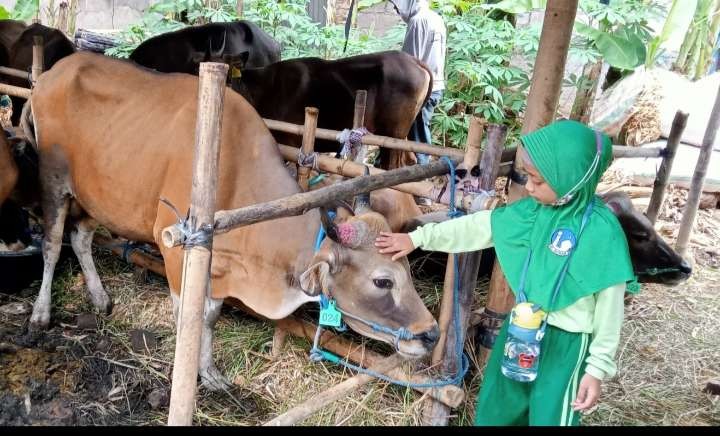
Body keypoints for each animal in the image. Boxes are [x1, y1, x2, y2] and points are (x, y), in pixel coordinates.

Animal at [23, 52, 438, 390]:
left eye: (408, 270)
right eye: (383, 281)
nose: (431, 334)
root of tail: (53, 73)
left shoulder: (220, 265)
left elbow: (208, 317)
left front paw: (208, 373)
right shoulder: (174, 246)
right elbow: (187, 317)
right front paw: (186, 374)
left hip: (97, 195)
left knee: (80, 237)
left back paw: (99, 297)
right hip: (54, 180)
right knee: (52, 243)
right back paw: (40, 313)